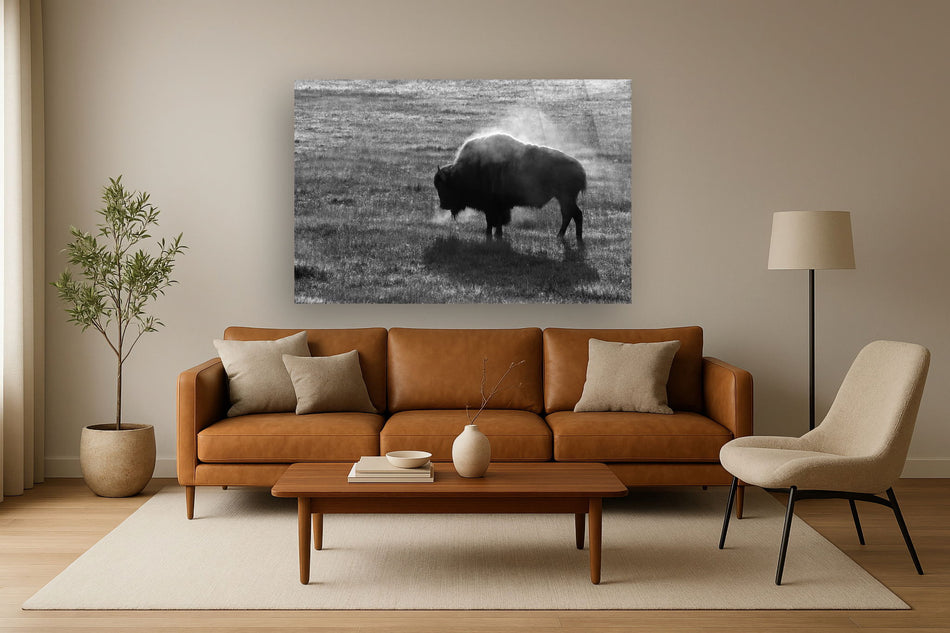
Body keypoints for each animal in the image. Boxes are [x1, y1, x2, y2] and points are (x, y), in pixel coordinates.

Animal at [434, 133, 587, 241]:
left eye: (444, 187)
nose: (443, 205)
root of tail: (580, 169)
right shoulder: (497, 207)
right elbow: (495, 222)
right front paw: (495, 235)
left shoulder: (492, 206)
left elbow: (492, 221)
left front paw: (492, 235)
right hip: (564, 198)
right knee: (571, 215)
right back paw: (567, 236)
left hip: (565, 198)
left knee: (573, 214)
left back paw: (566, 237)